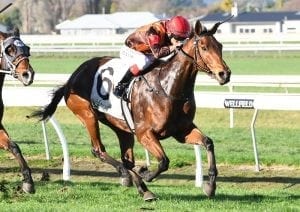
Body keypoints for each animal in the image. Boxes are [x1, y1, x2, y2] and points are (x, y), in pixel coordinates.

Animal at [29, 18, 231, 200]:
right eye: (204, 47)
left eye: (220, 46)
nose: (225, 74)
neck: (168, 88)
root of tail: (72, 79)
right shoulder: (144, 133)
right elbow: (164, 161)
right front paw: (147, 174)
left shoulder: (182, 130)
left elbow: (208, 143)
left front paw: (210, 185)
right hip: (87, 115)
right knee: (99, 150)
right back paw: (128, 176)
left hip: (121, 127)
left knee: (126, 158)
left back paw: (142, 188)